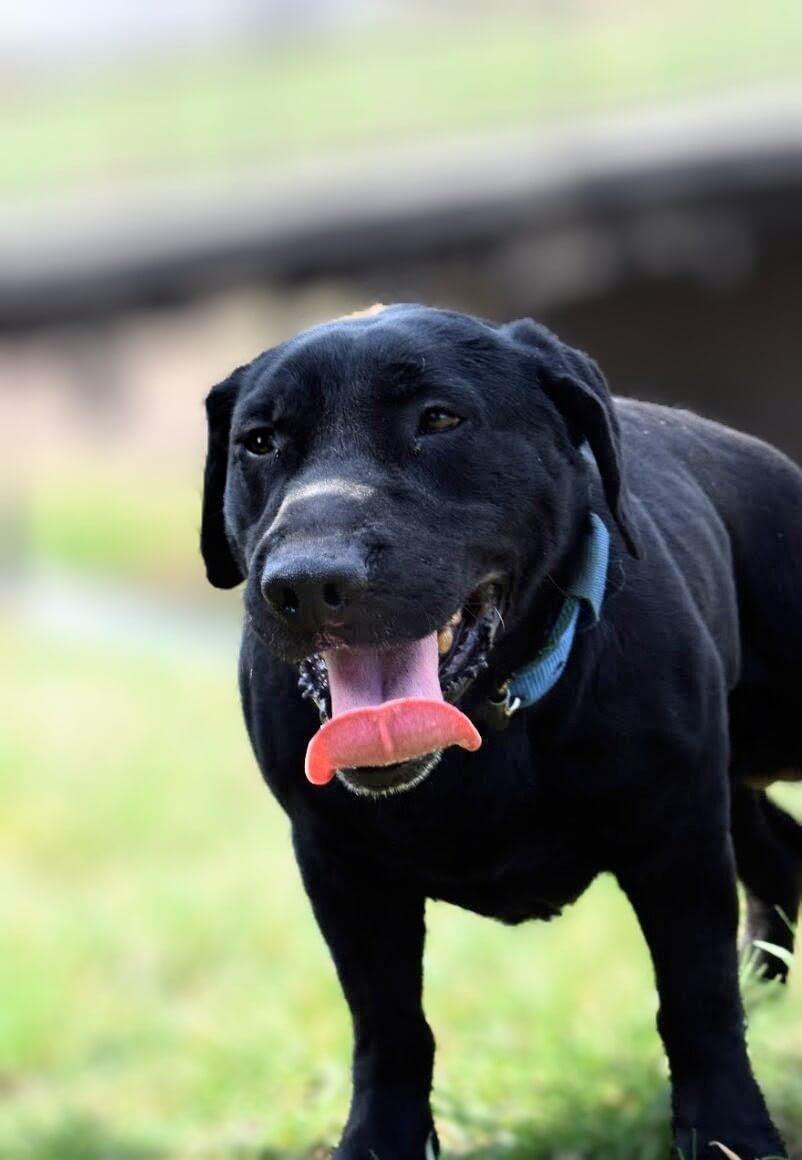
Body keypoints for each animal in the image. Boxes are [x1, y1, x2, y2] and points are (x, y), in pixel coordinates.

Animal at [201, 303, 802, 1158]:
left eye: (439, 419)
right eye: (260, 440)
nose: (309, 582)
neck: (491, 722)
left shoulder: (678, 839)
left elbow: (697, 1002)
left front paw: (730, 1133)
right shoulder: (340, 865)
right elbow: (389, 1026)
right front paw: (380, 1140)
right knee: (782, 853)